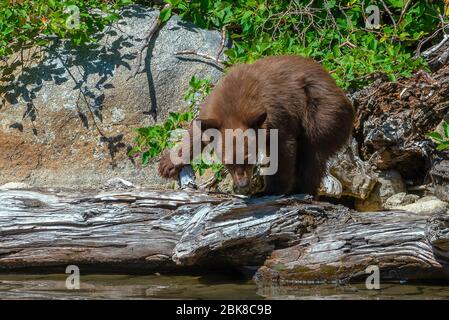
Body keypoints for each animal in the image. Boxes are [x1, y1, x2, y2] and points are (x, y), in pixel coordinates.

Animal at [158, 55, 354, 196]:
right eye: (228, 163)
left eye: (248, 157)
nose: (243, 184)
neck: (233, 108)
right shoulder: (212, 111)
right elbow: (197, 133)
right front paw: (168, 164)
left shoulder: (277, 116)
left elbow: (282, 150)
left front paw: (269, 190)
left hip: (322, 112)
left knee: (313, 153)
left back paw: (302, 189)